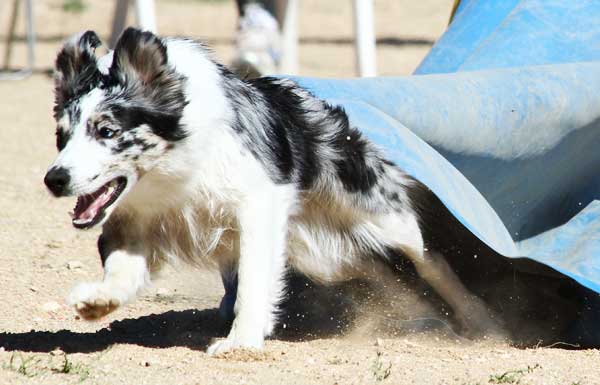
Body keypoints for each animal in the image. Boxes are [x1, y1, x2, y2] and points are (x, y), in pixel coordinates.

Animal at [43, 27, 502, 354]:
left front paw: (242, 339)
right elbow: (121, 268)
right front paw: (98, 301)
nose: (55, 179)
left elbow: (253, 277)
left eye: (106, 131)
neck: (174, 173)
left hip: (382, 216)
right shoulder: (135, 220)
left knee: (431, 260)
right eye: (61, 136)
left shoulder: (259, 203)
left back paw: (482, 322)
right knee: (384, 273)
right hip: (328, 254)